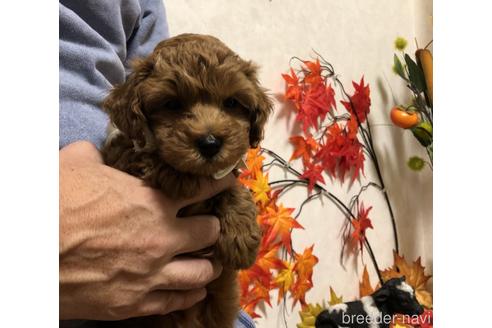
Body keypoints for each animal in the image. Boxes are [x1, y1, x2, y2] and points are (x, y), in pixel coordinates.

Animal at [98, 34, 270, 328]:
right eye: (171, 104)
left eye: (231, 103)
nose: (210, 143)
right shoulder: (120, 156)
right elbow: (144, 157)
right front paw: (179, 177)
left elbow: (233, 187)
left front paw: (241, 238)